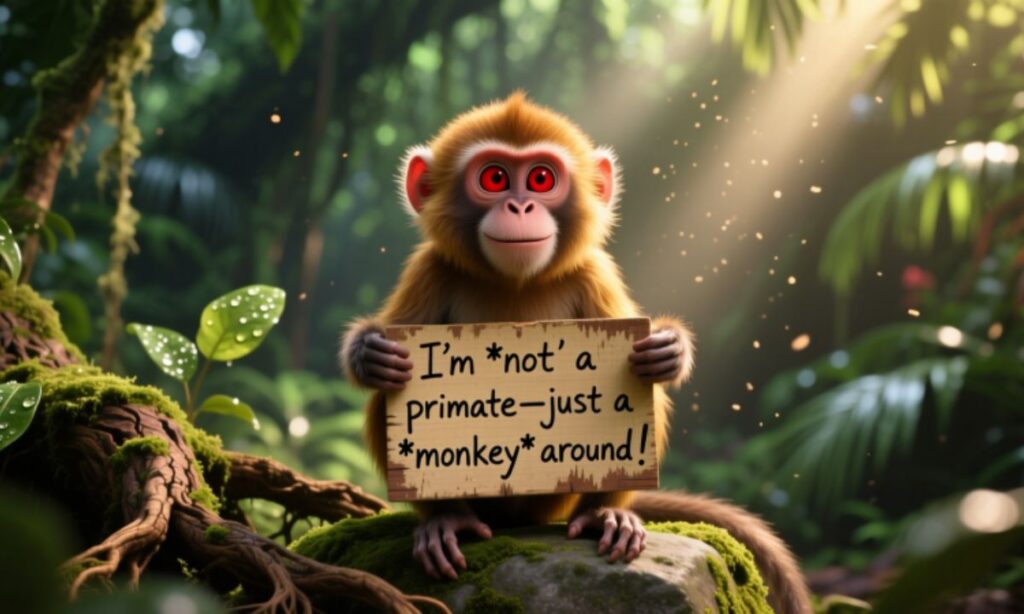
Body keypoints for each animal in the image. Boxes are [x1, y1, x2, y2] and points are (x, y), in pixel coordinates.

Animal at [341, 92, 812, 614]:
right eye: (494, 178)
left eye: (541, 179)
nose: (520, 205)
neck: (515, 282)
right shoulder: (430, 268)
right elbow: (383, 357)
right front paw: (371, 355)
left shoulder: (592, 271)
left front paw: (668, 349)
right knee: (385, 403)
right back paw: (448, 519)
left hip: (554, 500)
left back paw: (606, 513)